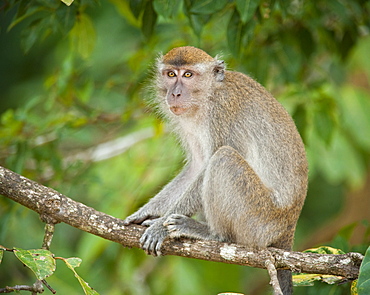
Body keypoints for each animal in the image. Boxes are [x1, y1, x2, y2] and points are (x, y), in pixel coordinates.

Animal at [123, 45, 308, 294]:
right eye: (171, 74)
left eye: (188, 75)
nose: (175, 93)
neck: (208, 96)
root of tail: (288, 229)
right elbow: (198, 166)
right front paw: (147, 212)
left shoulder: (222, 112)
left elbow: (211, 162)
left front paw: (161, 226)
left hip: (260, 220)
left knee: (223, 158)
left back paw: (216, 235)